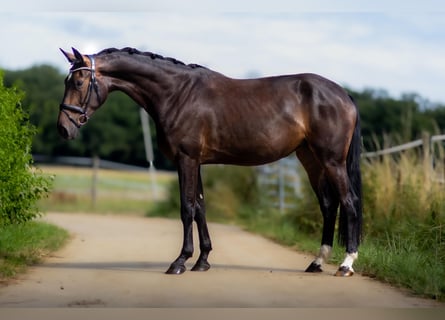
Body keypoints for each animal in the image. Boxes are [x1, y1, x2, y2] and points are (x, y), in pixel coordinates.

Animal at [57, 46, 360, 276]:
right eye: (67, 82)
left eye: (78, 82)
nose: (63, 128)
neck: (177, 94)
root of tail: (343, 94)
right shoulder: (197, 162)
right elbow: (201, 208)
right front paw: (202, 261)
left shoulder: (186, 159)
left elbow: (187, 208)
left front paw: (180, 261)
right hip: (311, 160)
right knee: (328, 206)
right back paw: (317, 262)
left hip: (332, 161)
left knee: (349, 203)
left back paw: (346, 264)